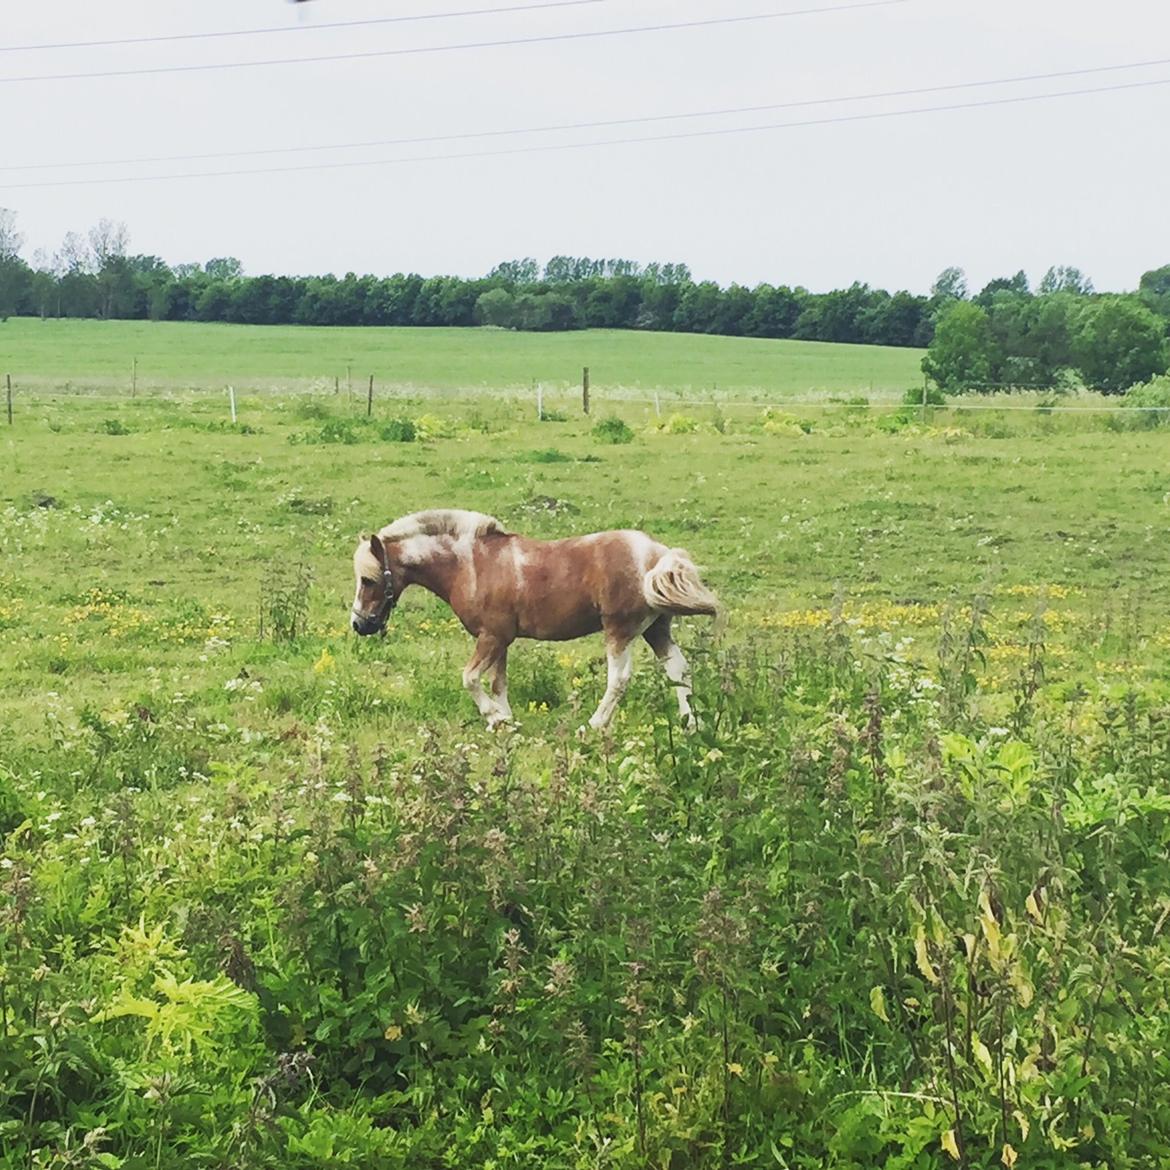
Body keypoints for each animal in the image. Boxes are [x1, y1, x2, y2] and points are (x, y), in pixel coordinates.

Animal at [346, 505, 716, 725]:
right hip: (656, 629)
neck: (472, 565)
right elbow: (497, 683)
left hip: (620, 630)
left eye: (369, 579)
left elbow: (470, 678)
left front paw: (495, 718)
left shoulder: (491, 638)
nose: (360, 624)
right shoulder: (499, 640)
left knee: (620, 678)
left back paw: (594, 725)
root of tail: (658, 554)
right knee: (678, 670)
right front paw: (506, 720)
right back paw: (690, 723)